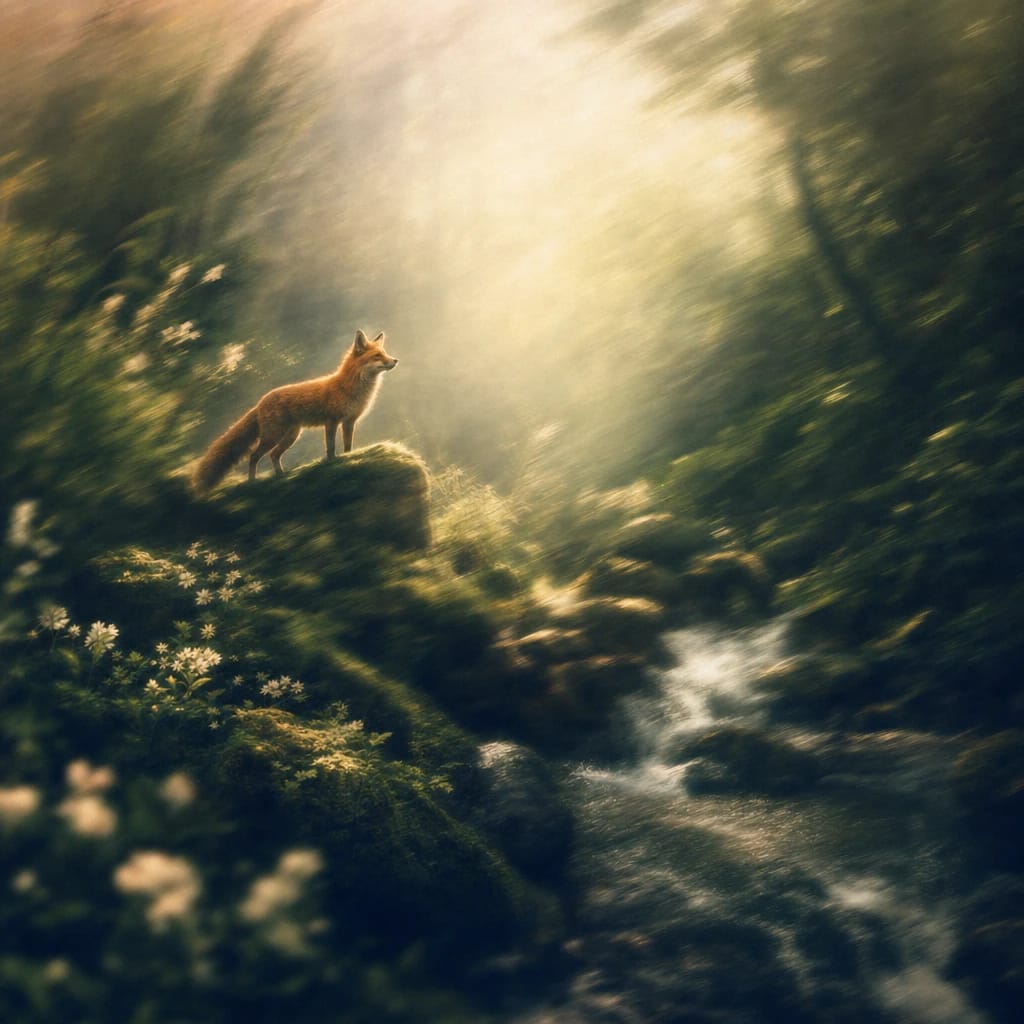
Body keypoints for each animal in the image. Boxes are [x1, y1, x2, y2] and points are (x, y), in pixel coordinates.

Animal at [193, 330, 398, 493]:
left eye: (385, 353)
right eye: (377, 356)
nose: (395, 360)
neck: (350, 387)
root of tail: (260, 402)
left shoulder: (349, 422)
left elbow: (348, 445)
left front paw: (349, 459)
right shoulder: (331, 421)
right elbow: (331, 447)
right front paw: (332, 462)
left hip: (290, 436)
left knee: (273, 455)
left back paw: (281, 475)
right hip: (273, 436)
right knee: (254, 456)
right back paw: (252, 482)